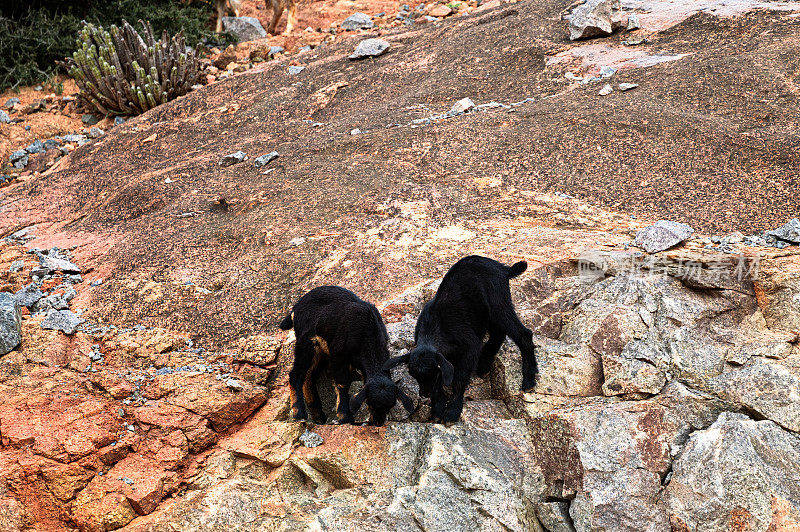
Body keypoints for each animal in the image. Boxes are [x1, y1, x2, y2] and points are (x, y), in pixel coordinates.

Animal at [278, 284, 412, 426]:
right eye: (370, 403)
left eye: (390, 406)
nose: (378, 422)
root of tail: (295, 308)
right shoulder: (338, 355)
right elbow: (342, 383)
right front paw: (345, 417)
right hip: (307, 342)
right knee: (296, 374)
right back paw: (299, 414)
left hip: (320, 352)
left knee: (309, 377)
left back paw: (318, 417)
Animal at [386, 256, 536, 424]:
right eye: (414, 375)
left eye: (432, 373)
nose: (425, 394)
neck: (436, 327)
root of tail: (504, 269)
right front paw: (437, 409)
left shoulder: (470, 347)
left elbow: (459, 379)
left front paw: (452, 412)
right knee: (498, 333)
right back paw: (484, 364)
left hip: (499, 303)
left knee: (522, 334)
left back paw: (529, 379)